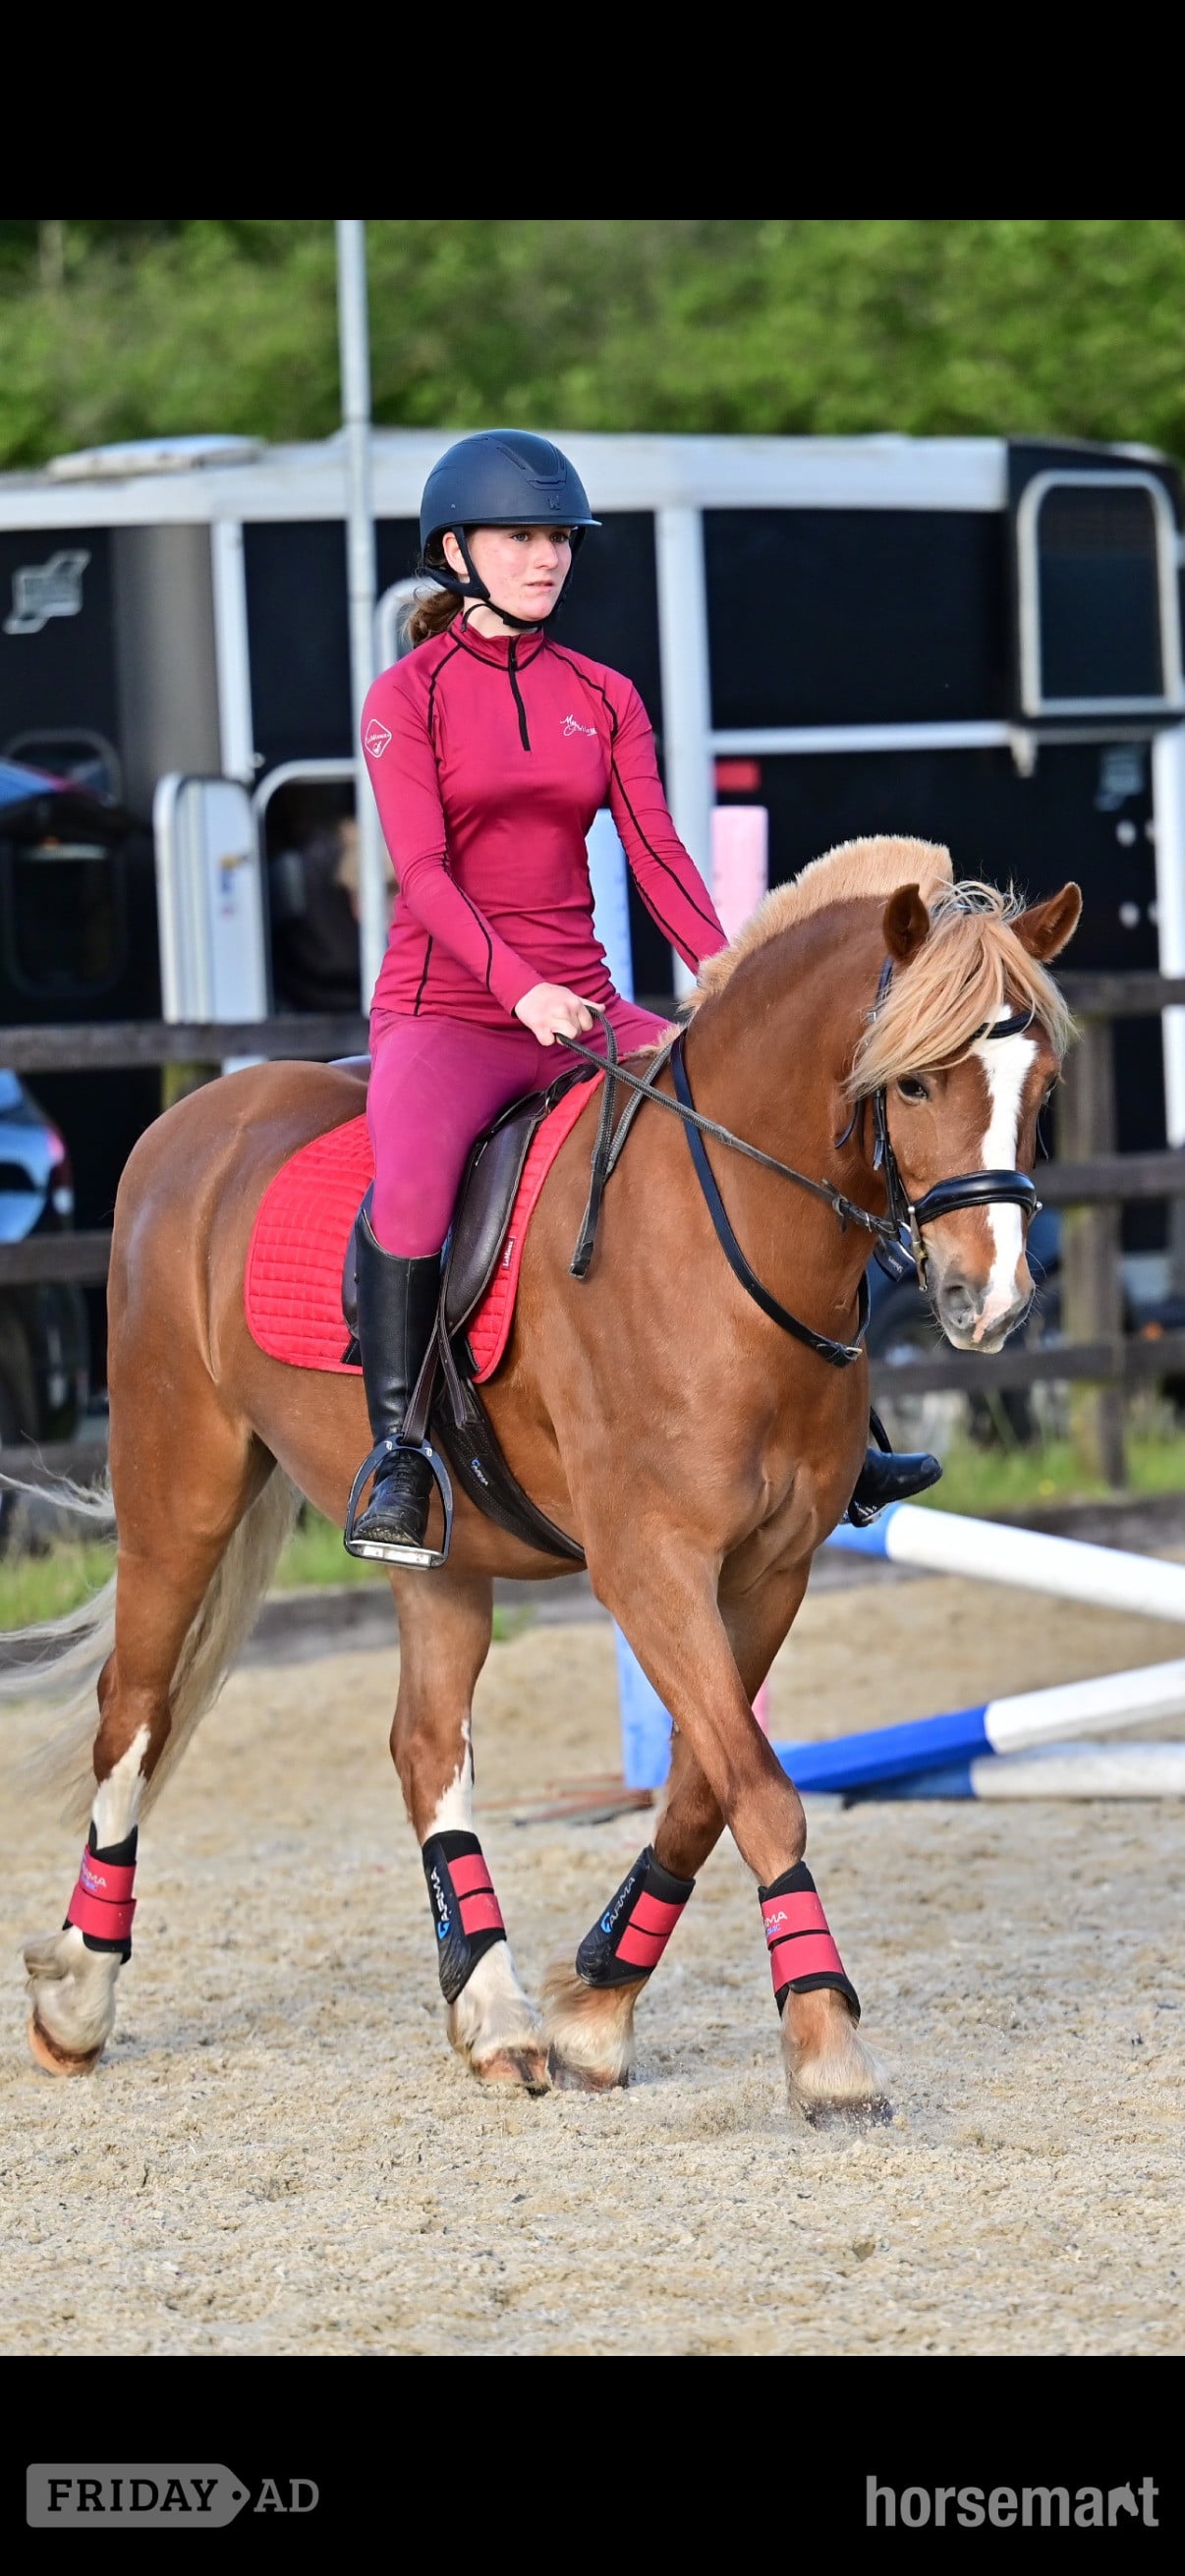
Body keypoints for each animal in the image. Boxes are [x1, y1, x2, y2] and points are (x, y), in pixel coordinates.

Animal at [17, 835, 1079, 2117]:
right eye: (915, 1086)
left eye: (1041, 1087)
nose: (993, 1301)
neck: (729, 1241)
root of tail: (194, 1124)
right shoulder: (650, 1565)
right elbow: (760, 1786)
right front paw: (826, 2044)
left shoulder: (770, 1571)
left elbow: (706, 1785)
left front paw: (597, 2011)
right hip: (181, 1489)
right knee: (135, 1712)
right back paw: (79, 1996)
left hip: (435, 1548)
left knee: (426, 1745)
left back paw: (493, 2011)